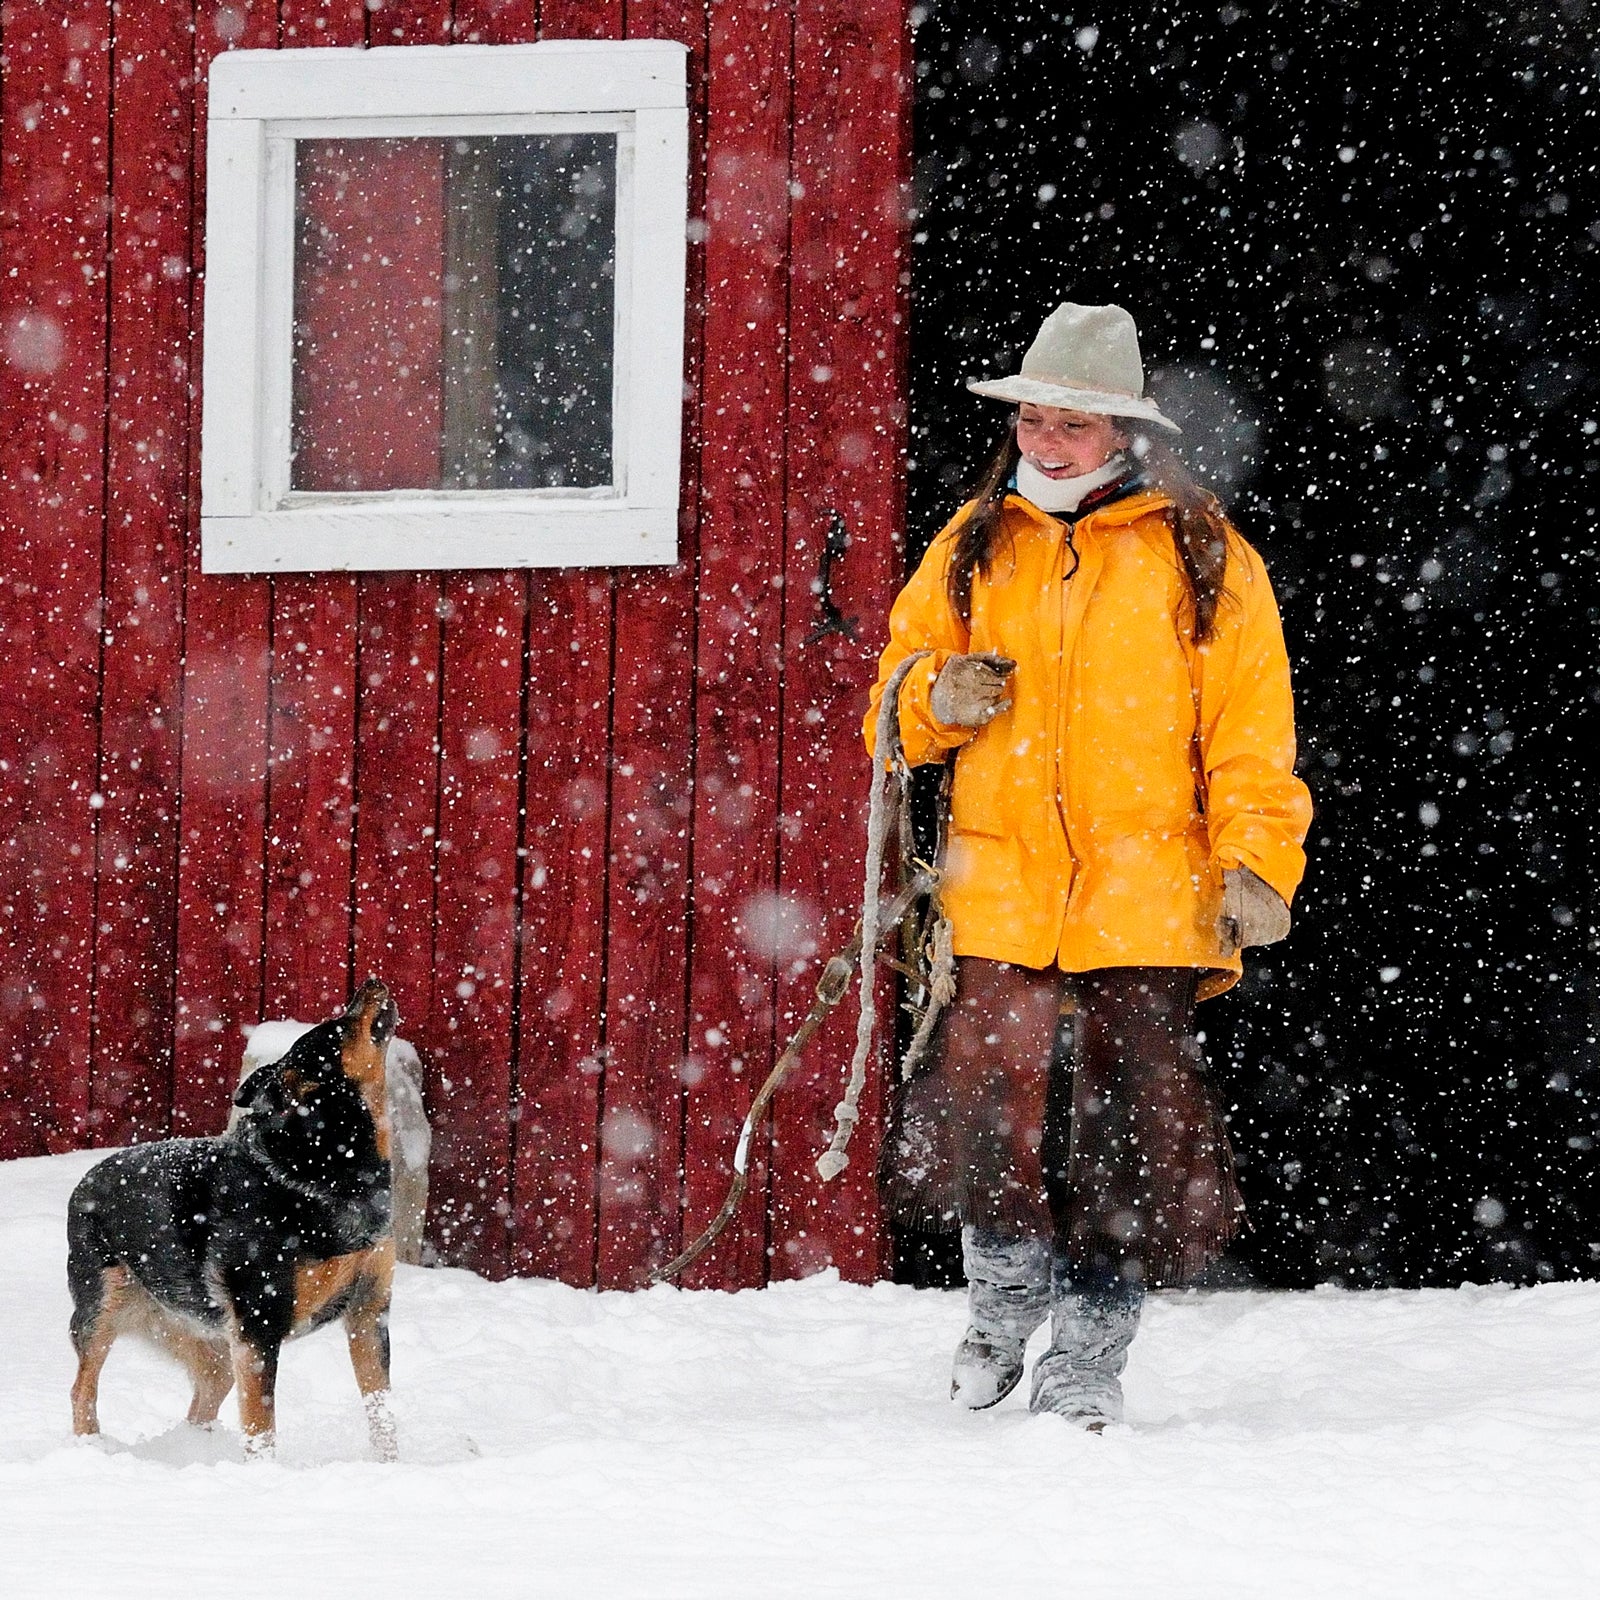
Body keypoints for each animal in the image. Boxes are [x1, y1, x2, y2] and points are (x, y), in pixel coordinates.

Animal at [70, 972, 400, 1465]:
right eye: (336, 1029)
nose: (372, 982)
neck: (329, 1167)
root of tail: (85, 1181)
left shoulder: (369, 1312)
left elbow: (382, 1412)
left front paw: (393, 1467)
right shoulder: (259, 1325)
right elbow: (262, 1426)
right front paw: (264, 1476)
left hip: (213, 1345)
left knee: (202, 1400)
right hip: (101, 1310)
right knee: (82, 1389)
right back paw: (89, 1448)